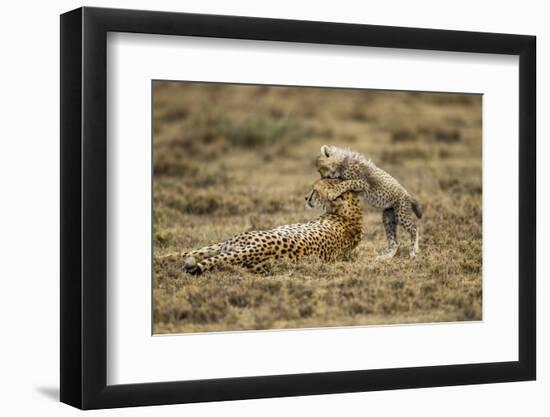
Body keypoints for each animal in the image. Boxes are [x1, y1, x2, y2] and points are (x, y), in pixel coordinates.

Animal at [183, 178, 366, 272]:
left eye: (314, 191)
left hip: (232, 243)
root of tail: (259, 249)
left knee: (196, 253)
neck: (352, 212)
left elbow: (193, 251)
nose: (306, 198)